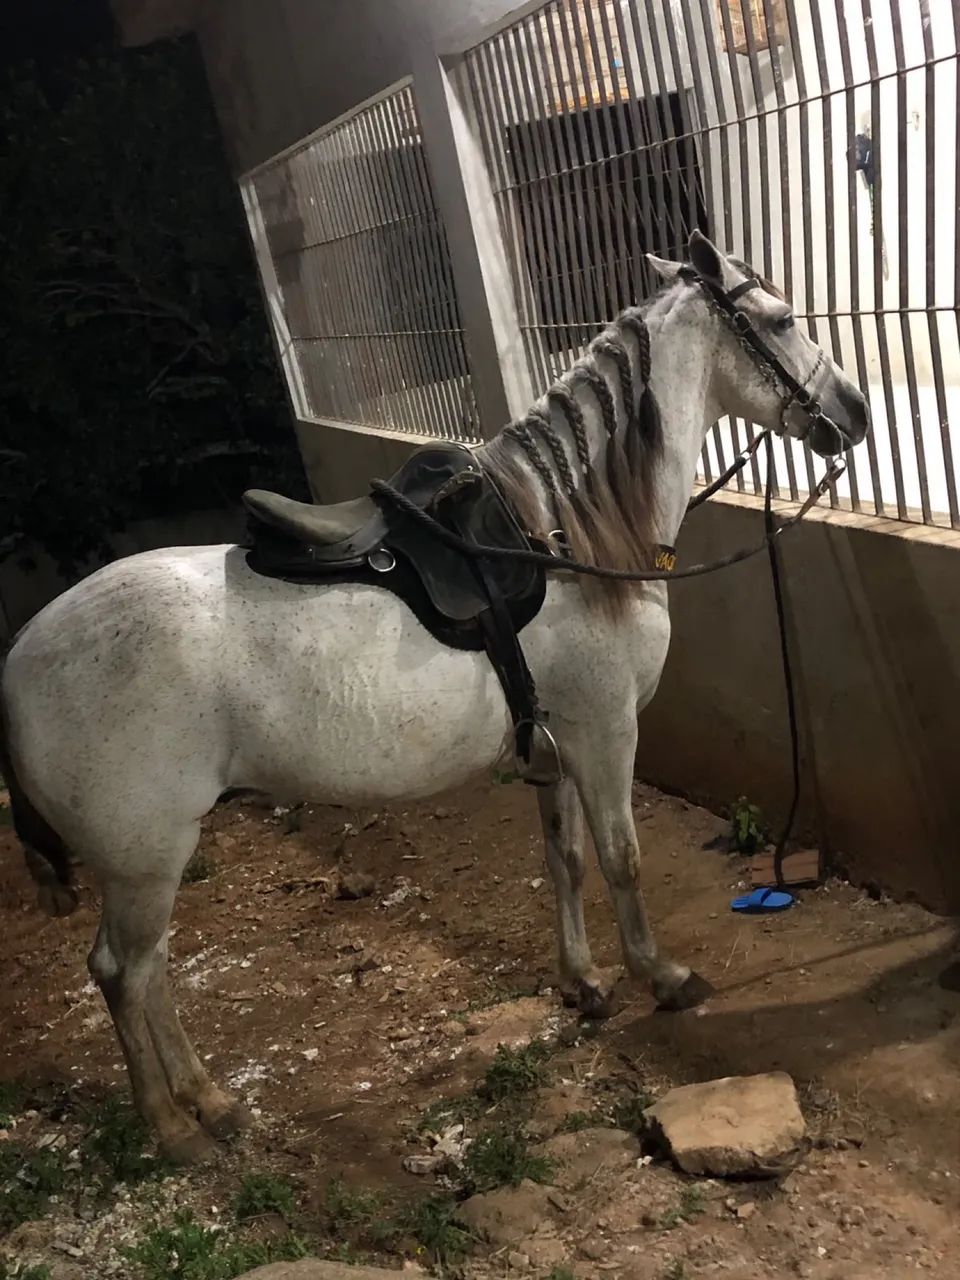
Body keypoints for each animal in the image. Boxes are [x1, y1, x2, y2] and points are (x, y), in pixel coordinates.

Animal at [0, 232, 870, 1162]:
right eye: (780, 320)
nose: (853, 413)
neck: (560, 532)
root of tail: (17, 659)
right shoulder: (604, 733)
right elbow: (621, 859)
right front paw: (661, 977)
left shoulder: (553, 744)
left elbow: (564, 860)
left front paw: (584, 982)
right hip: (145, 855)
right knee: (125, 974)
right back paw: (174, 1127)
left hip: (151, 858)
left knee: (152, 969)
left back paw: (213, 1103)